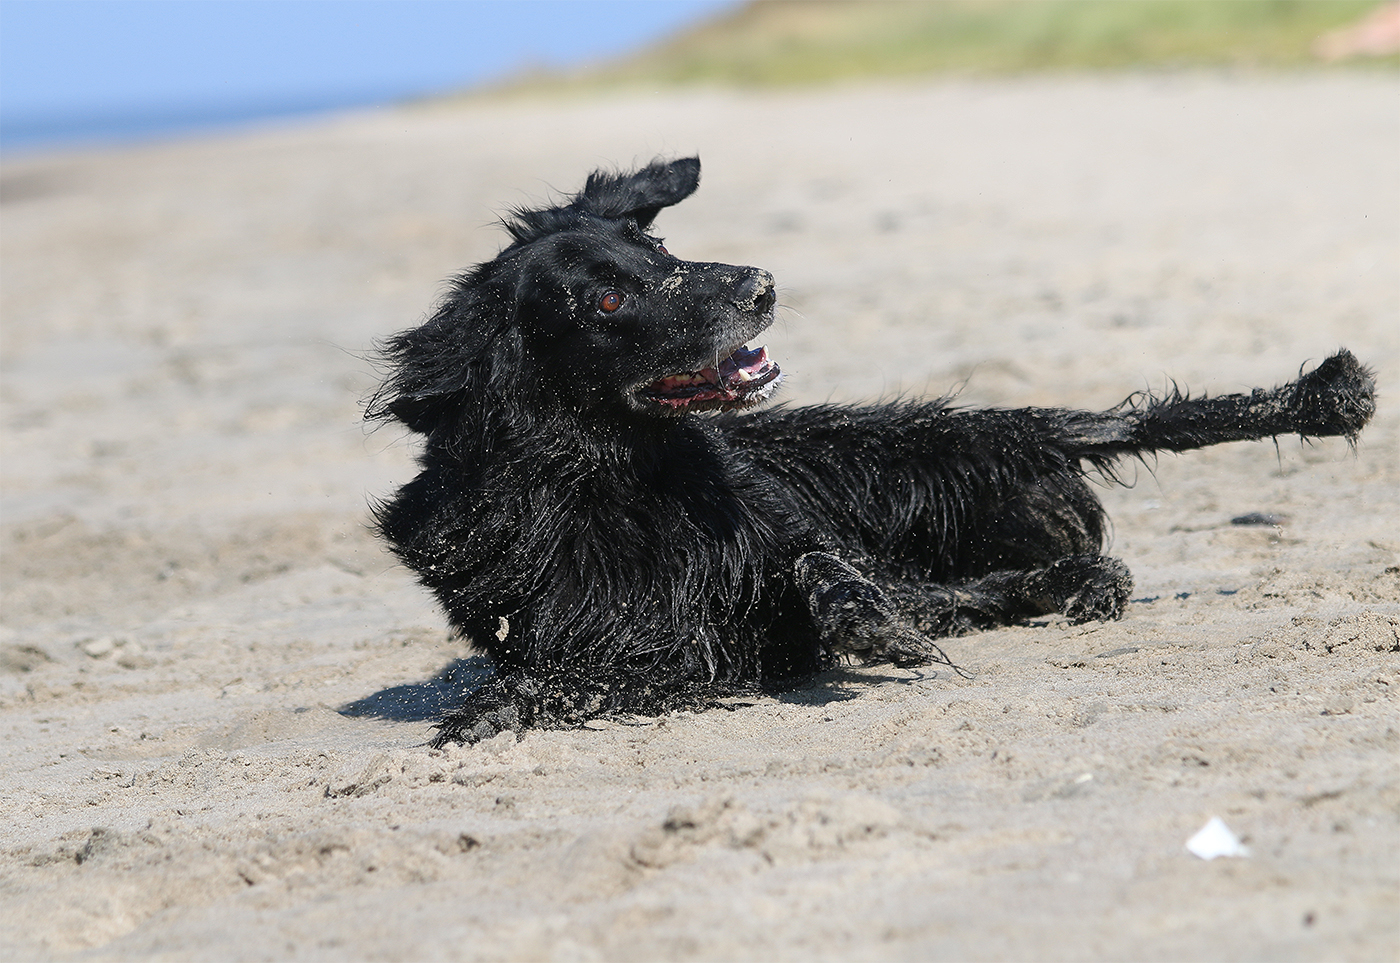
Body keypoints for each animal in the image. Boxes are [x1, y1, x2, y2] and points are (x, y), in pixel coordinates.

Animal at [368, 157, 1376, 746]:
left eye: (659, 248)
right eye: (607, 298)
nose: (763, 284)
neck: (615, 477)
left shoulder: (780, 533)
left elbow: (817, 561)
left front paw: (866, 624)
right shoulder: (593, 636)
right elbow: (546, 682)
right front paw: (493, 711)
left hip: (938, 439)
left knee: (1116, 424)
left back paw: (1329, 395)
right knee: (1006, 578)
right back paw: (1076, 583)